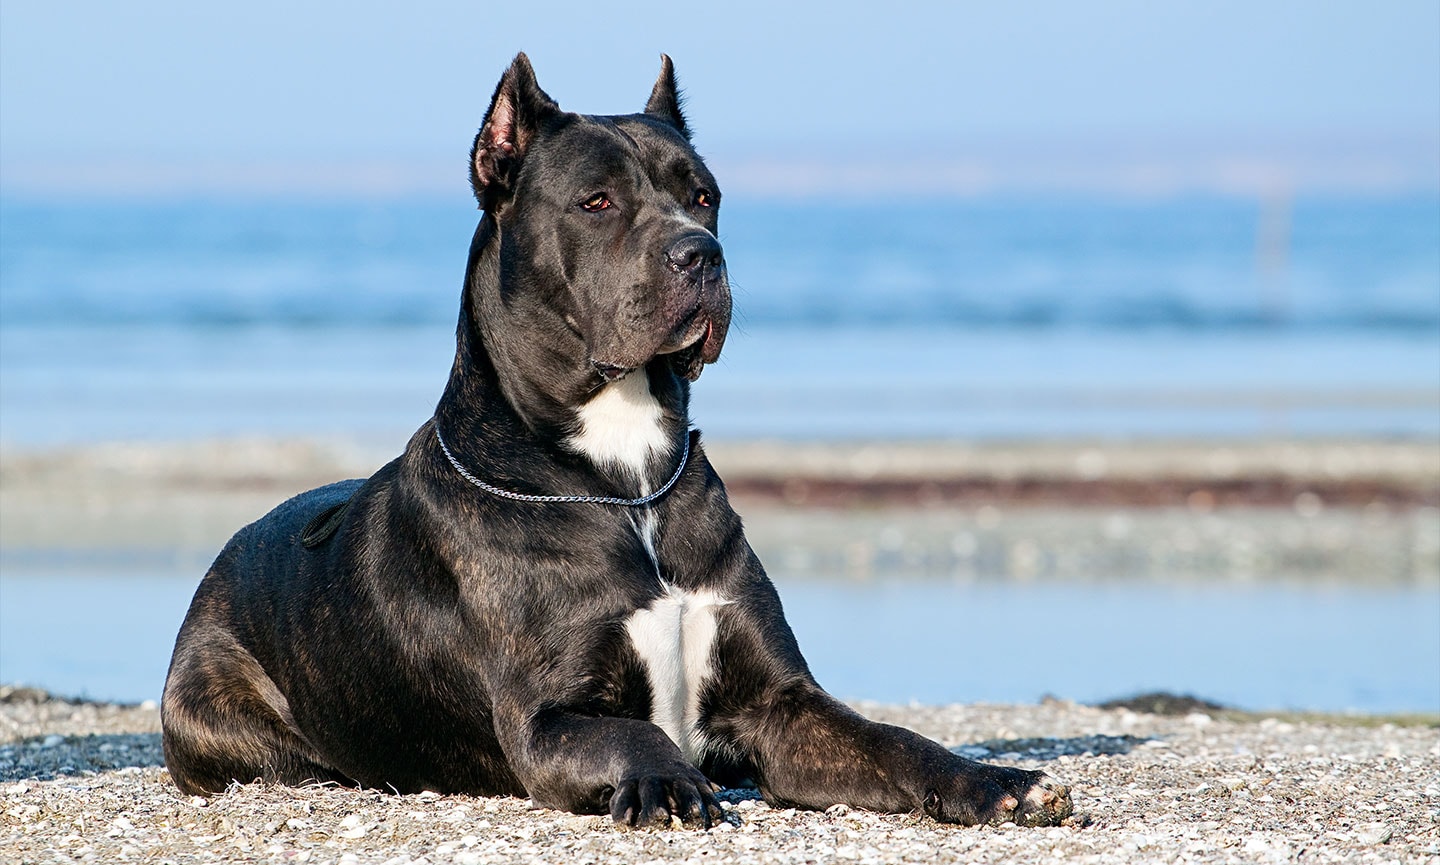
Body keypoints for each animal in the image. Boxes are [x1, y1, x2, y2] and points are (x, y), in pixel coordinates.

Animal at [163, 53, 1077, 829]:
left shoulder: (784, 704)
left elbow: (892, 739)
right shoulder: (550, 717)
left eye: (704, 196)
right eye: (595, 202)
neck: (625, 474)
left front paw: (1000, 780)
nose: (702, 253)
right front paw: (670, 780)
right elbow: (636, 733)